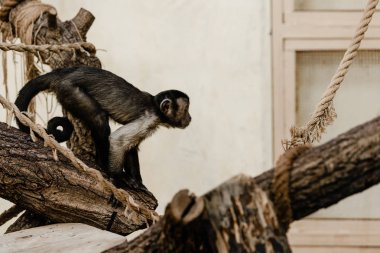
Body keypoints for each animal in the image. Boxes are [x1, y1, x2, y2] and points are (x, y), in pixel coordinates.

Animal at [14, 66, 191, 189]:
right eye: (186, 110)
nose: (189, 118)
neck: (155, 107)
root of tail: (66, 72)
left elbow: (130, 147)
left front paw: (137, 182)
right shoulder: (149, 119)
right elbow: (119, 141)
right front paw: (116, 179)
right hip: (69, 89)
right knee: (99, 119)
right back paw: (102, 164)